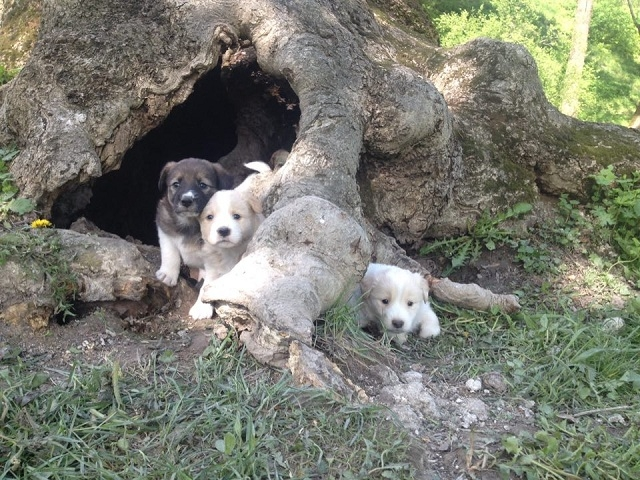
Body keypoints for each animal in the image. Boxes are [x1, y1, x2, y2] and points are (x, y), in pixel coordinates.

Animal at [155, 157, 233, 286]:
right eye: (176, 184)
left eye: (202, 185)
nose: (186, 200)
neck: (190, 222)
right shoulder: (165, 230)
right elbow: (170, 253)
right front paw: (167, 274)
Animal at [188, 163, 270, 319]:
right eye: (210, 217)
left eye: (237, 216)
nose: (223, 230)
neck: (230, 251)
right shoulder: (213, 267)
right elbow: (206, 286)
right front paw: (201, 307)